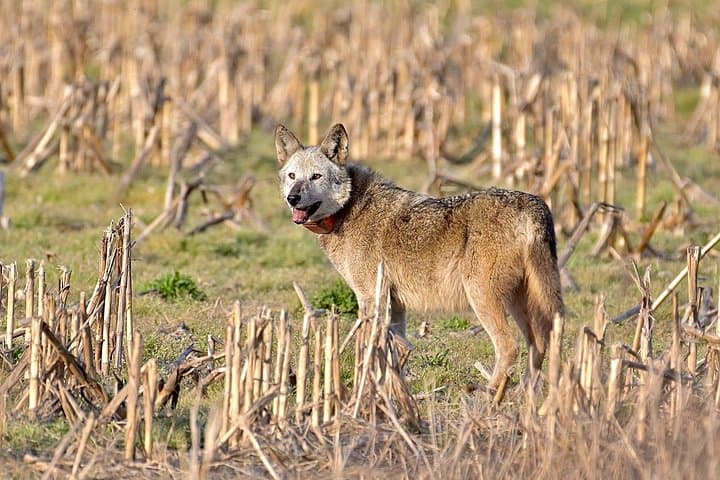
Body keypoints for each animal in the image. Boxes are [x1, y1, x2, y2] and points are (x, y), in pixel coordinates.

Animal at [275, 123, 564, 391]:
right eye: (292, 175)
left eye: (316, 176)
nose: (293, 198)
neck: (349, 210)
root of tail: (534, 205)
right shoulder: (395, 305)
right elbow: (395, 353)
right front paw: (393, 393)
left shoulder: (371, 298)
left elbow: (368, 350)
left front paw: (364, 391)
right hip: (519, 301)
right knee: (539, 342)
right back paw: (526, 394)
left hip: (483, 298)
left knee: (510, 347)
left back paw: (489, 396)